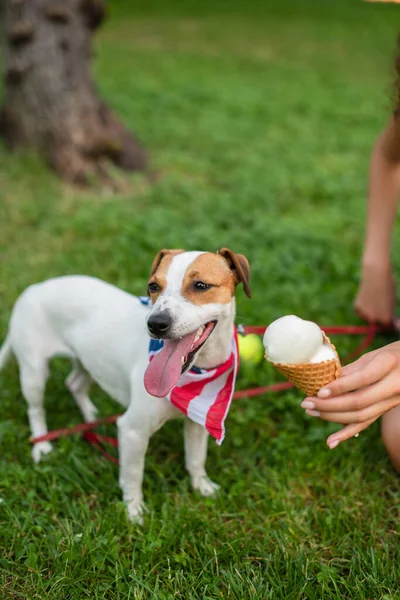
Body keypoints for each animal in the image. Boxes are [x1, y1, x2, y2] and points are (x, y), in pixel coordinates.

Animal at [0, 247, 250, 520]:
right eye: (153, 286)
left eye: (201, 285)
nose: (156, 323)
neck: (197, 372)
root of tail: (33, 288)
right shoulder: (133, 431)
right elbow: (133, 475)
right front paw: (134, 512)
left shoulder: (198, 419)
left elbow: (196, 458)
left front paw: (202, 486)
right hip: (34, 372)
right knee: (35, 409)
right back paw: (42, 446)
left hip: (87, 358)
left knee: (74, 383)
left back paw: (91, 416)